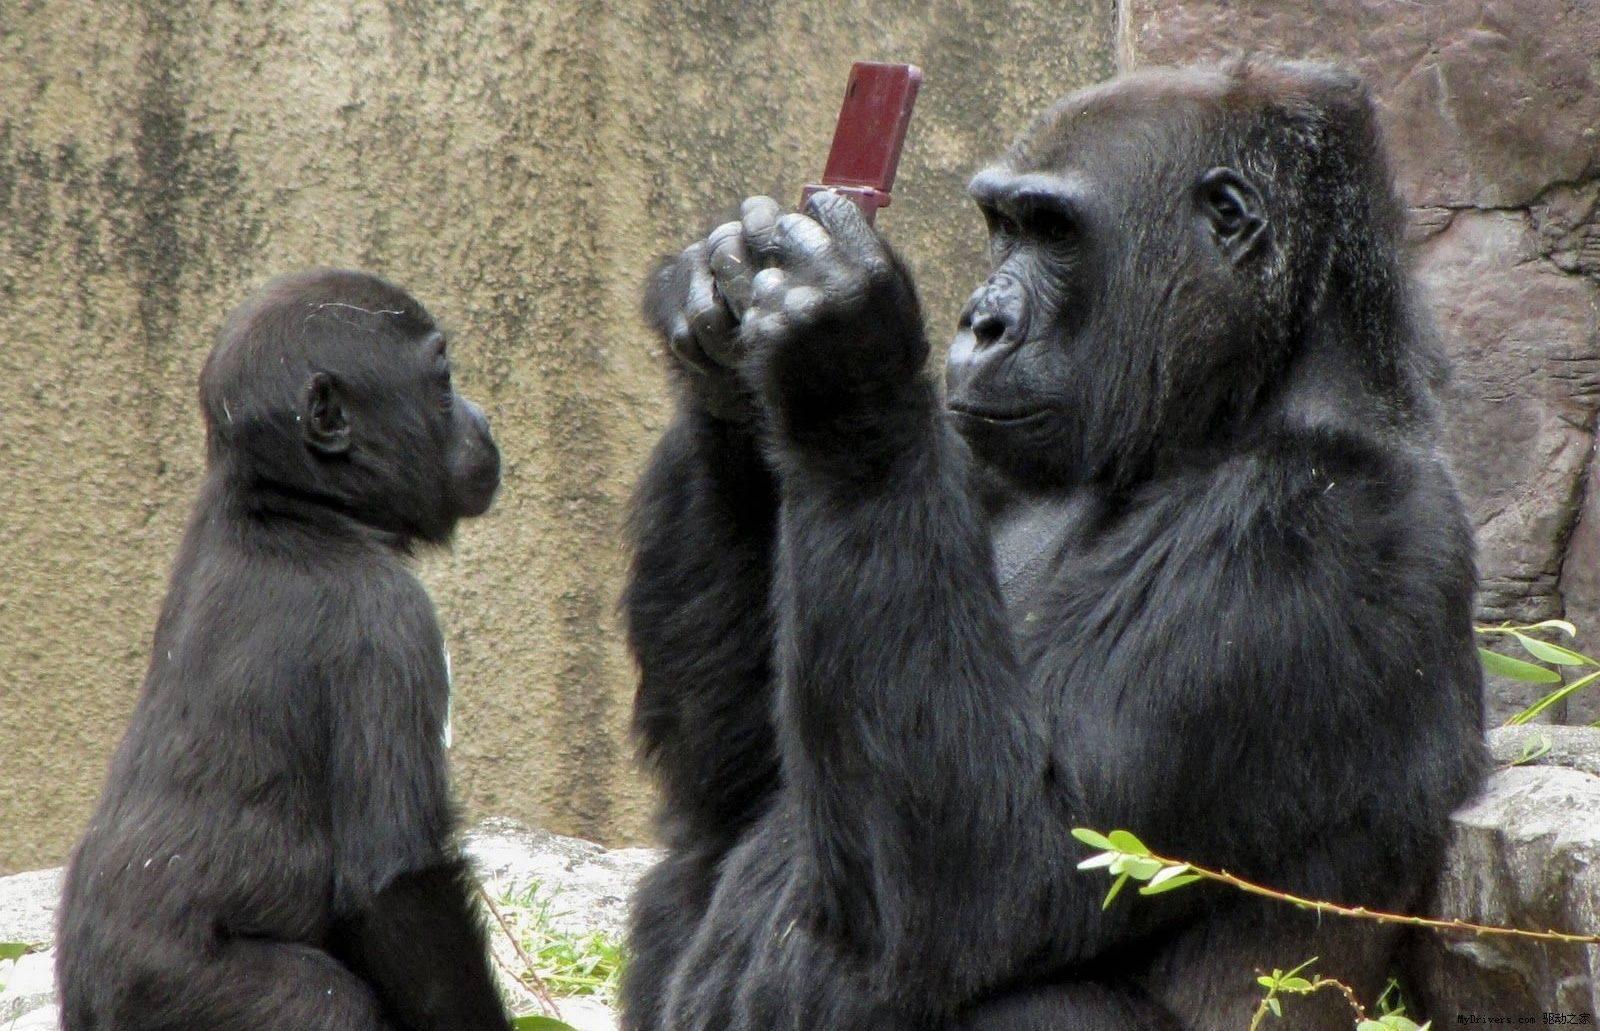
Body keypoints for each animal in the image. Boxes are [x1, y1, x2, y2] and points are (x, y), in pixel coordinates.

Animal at [58, 270, 505, 1024]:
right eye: (443, 382)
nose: (481, 420)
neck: (297, 506)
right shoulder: (391, 624)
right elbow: (397, 886)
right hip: (180, 992)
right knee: (330, 1005)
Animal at [614, 60, 1484, 1024]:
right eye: (1004, 227)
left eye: (1056, 232)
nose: (980, 321)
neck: (1241, 399)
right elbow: (737, 786)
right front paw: (721, 334)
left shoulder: (1313, 526)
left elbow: (996, 877)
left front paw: (837, 348)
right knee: (696, 861)